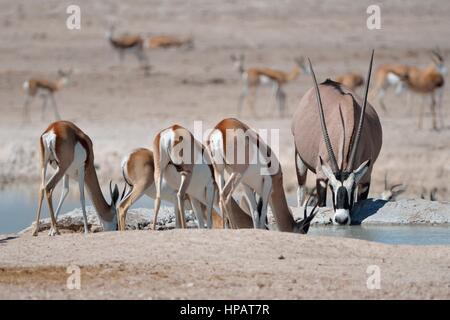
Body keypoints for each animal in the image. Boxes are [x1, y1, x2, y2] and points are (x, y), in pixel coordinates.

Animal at [292, 50, 384, 225]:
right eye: (331, 187)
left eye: (352, 187)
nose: (341, 219)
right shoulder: (321, 176)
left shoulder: (365, 178)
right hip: (299, 158)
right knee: (300, 191)